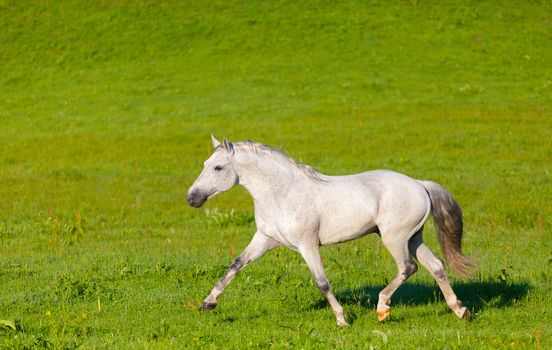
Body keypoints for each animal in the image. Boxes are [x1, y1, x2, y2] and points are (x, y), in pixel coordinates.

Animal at [188, 136, 472, 326]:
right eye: (205, 163)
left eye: (218, 167)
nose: (192, 198)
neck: (283, 193)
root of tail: (419, 184)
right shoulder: (265, 239)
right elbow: (235, 266)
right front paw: (207, 304)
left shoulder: (307, 245)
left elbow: (322, 283)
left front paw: (342, 319)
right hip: (413, 237)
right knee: (436, 266)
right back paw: (460, 310)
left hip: (395, 238)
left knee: (408, 267)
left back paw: (383, 308)